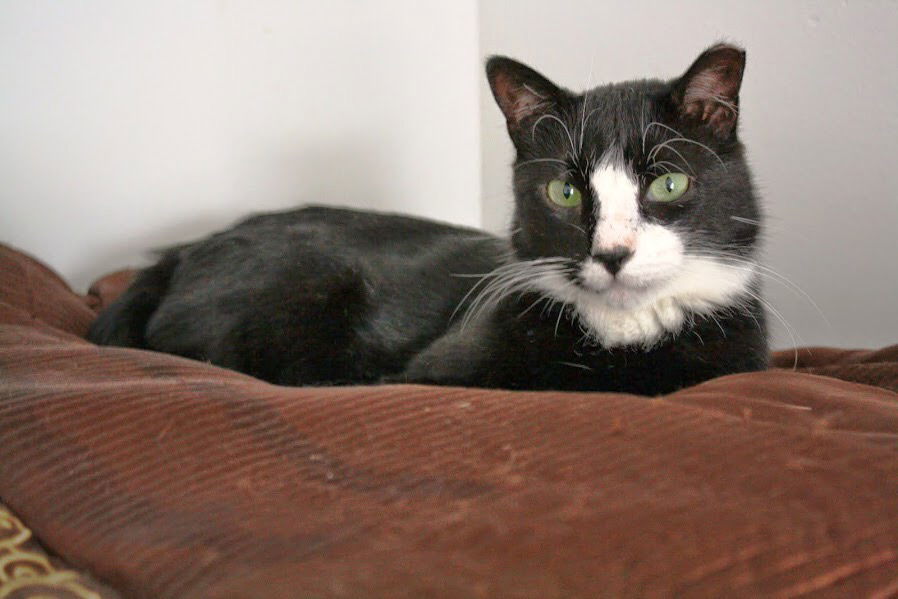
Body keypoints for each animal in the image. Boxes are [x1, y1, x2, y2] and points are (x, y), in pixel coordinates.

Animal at [89, 44, 764, 396]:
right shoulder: (435, 370)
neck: (622, 338)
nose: (613, 253)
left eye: (669, 182)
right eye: (565, 192)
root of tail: (182, 252)